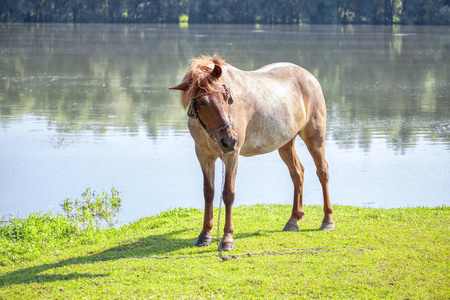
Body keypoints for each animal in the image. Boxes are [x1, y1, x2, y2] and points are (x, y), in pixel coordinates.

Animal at [171, 53, 336, 251]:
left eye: (226, 98)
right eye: (202, 102)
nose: (229, 140)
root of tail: (309, 77)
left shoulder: (231, 156)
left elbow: (228, 194)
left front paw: (227, 238)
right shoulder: (204, 156)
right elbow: (209, 193)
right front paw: (204, 235)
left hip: (314, 138)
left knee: (323, 171)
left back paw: (327, 220)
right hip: (286, 144)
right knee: (297, 173)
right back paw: (293, 220)